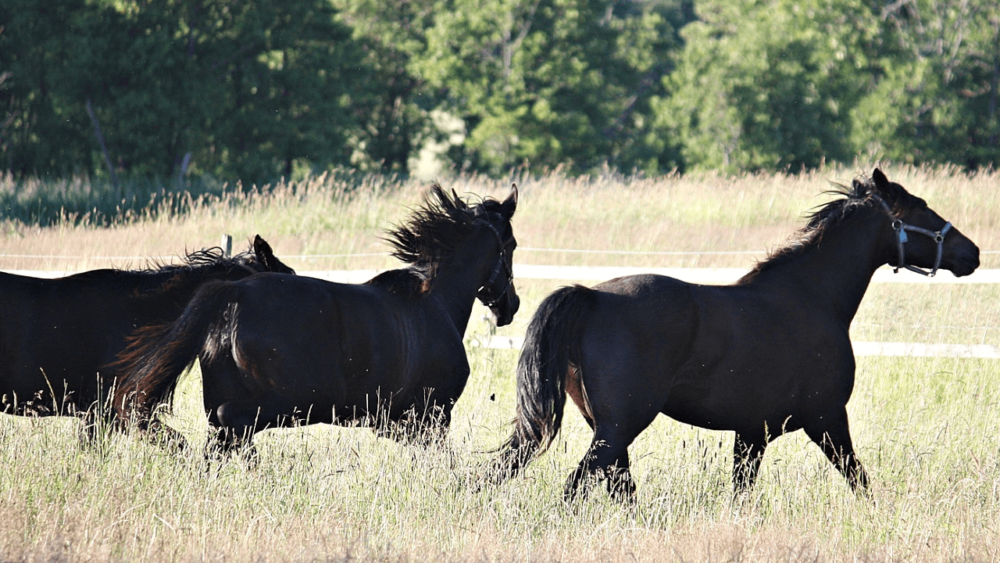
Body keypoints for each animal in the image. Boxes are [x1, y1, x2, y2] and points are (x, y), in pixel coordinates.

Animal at [116, 185, 520, 458]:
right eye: (511, 245)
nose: (511, 306)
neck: (435, 301)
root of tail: (232, 294)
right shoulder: (432, 418)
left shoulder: (397, 423)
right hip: (280, 403)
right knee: (232, 427)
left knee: (219, 440)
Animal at [488, 169, 980, 502]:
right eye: (921, 208)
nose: (972, 253)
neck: (811, 297)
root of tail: (591, 296)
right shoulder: (827, 419)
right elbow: (860, 481)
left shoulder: (751, 435)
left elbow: (740, 494)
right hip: (620, 425)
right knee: (577, 486)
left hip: (607, 426)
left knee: (618, 487)